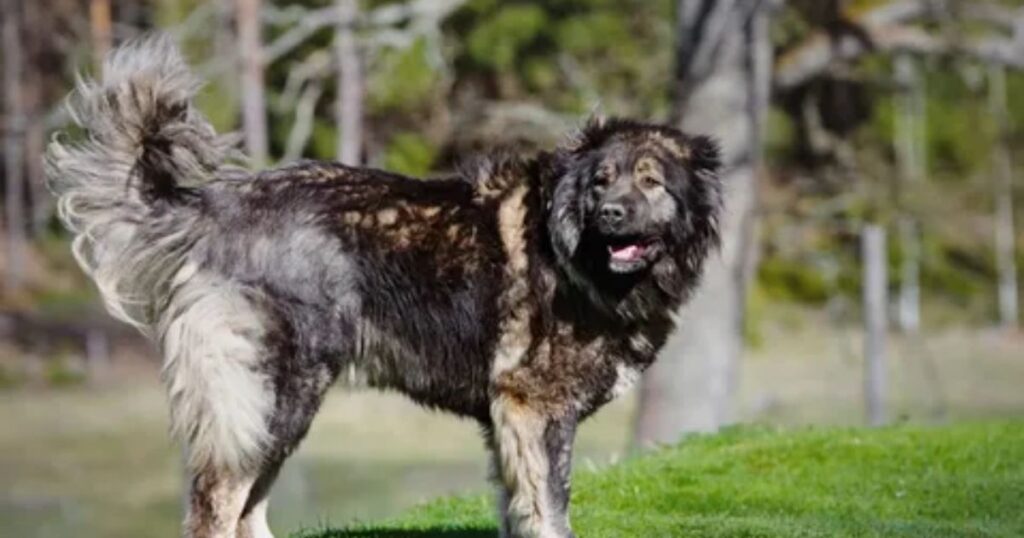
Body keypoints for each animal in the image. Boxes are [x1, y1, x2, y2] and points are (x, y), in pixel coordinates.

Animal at [44, 36, 724, 536]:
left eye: (651, 182)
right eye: (601, 181)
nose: (609, 213)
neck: (572, 253)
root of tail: (217, 207)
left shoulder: (510, 422)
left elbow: (519, 511)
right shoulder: (535, 410)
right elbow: (552, 510)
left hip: (281, 412)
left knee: (247, 512)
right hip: (270, 399)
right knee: (217, 507)